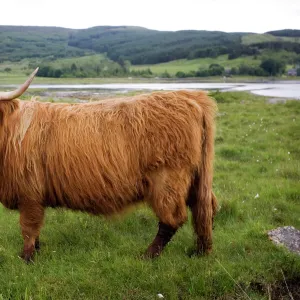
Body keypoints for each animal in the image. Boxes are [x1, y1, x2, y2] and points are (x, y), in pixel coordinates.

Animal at [0, 68, 217, 262]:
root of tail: (190, 96)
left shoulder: (29, 193)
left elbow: (29, 228)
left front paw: (27, 258)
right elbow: (35, 230)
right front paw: (36, 251)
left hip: (167, 178)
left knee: (173, 219)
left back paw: (148, 256)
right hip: (196, 177)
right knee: (204, 208)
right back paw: (200, 252)